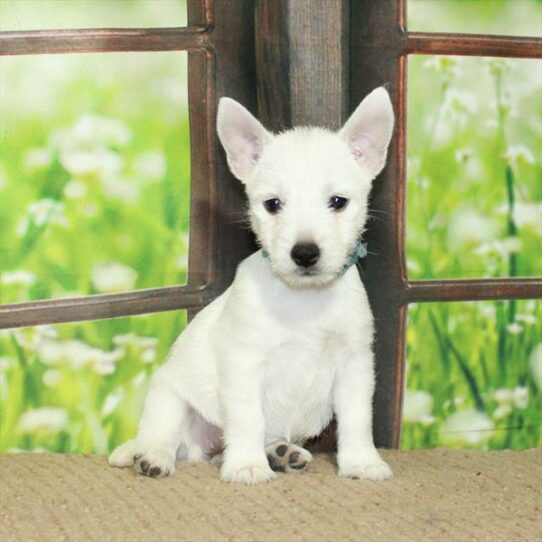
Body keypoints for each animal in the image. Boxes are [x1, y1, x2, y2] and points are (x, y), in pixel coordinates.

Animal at [110, 87, 398, 486]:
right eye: (273, 204)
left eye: (338, 202)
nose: (304, 253)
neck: (303, 301)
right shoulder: (244, 365)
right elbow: (248, 419)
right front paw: (246, 465)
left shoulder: (354, 364)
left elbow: (357, 420)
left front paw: (361, 462)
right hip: (170, 398)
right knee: (163, 436)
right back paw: (153, 457)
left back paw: (279, 453)